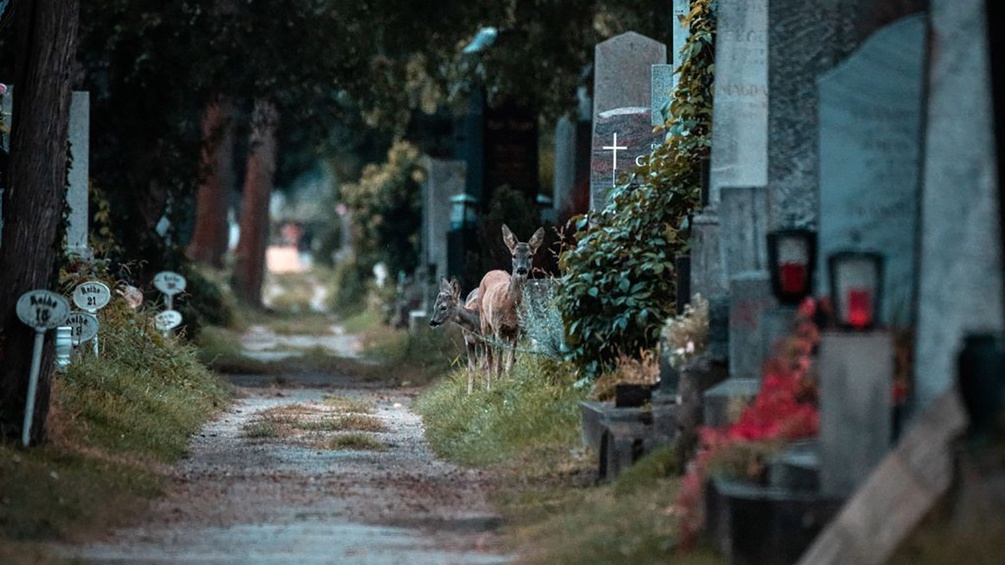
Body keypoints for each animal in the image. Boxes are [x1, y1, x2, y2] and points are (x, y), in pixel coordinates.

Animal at [477, 224, 546, 388]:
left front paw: (509, 382)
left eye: (530, 255)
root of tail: (492, 270)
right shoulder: (498, 328)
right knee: (489, 356)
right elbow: (498, 363)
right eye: (514, 255)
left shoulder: (516, 330)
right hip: (485, 323)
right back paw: (489, 385)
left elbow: (510, 362)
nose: (521, 270)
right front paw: (497, 384)